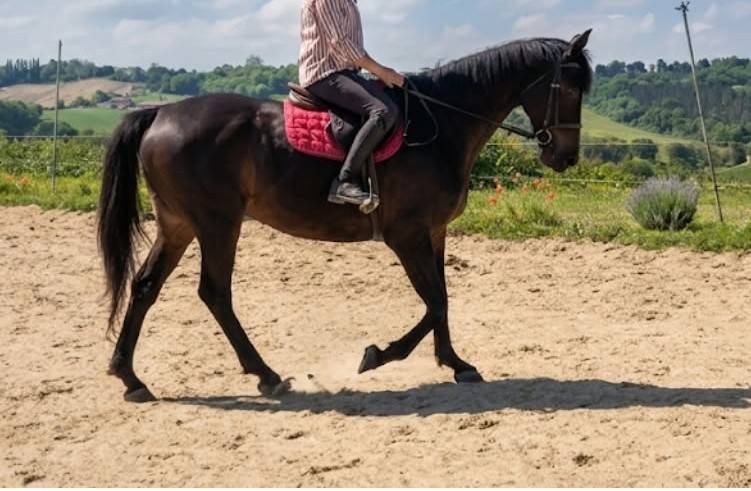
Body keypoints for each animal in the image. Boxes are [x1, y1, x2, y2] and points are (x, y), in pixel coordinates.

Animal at [98, 32, 593, 402]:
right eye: (570, 89)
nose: (565, 158)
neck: (440, 127)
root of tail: (161, 112)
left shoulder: (434, 232)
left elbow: (443, 298)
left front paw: (456, 364)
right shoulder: (407, 234)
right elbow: (434, 301)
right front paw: (379, 355)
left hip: (178, 224)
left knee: (145, 287)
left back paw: (131, 378)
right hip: (218, 223)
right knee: (215, 292)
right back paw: (267, 375)